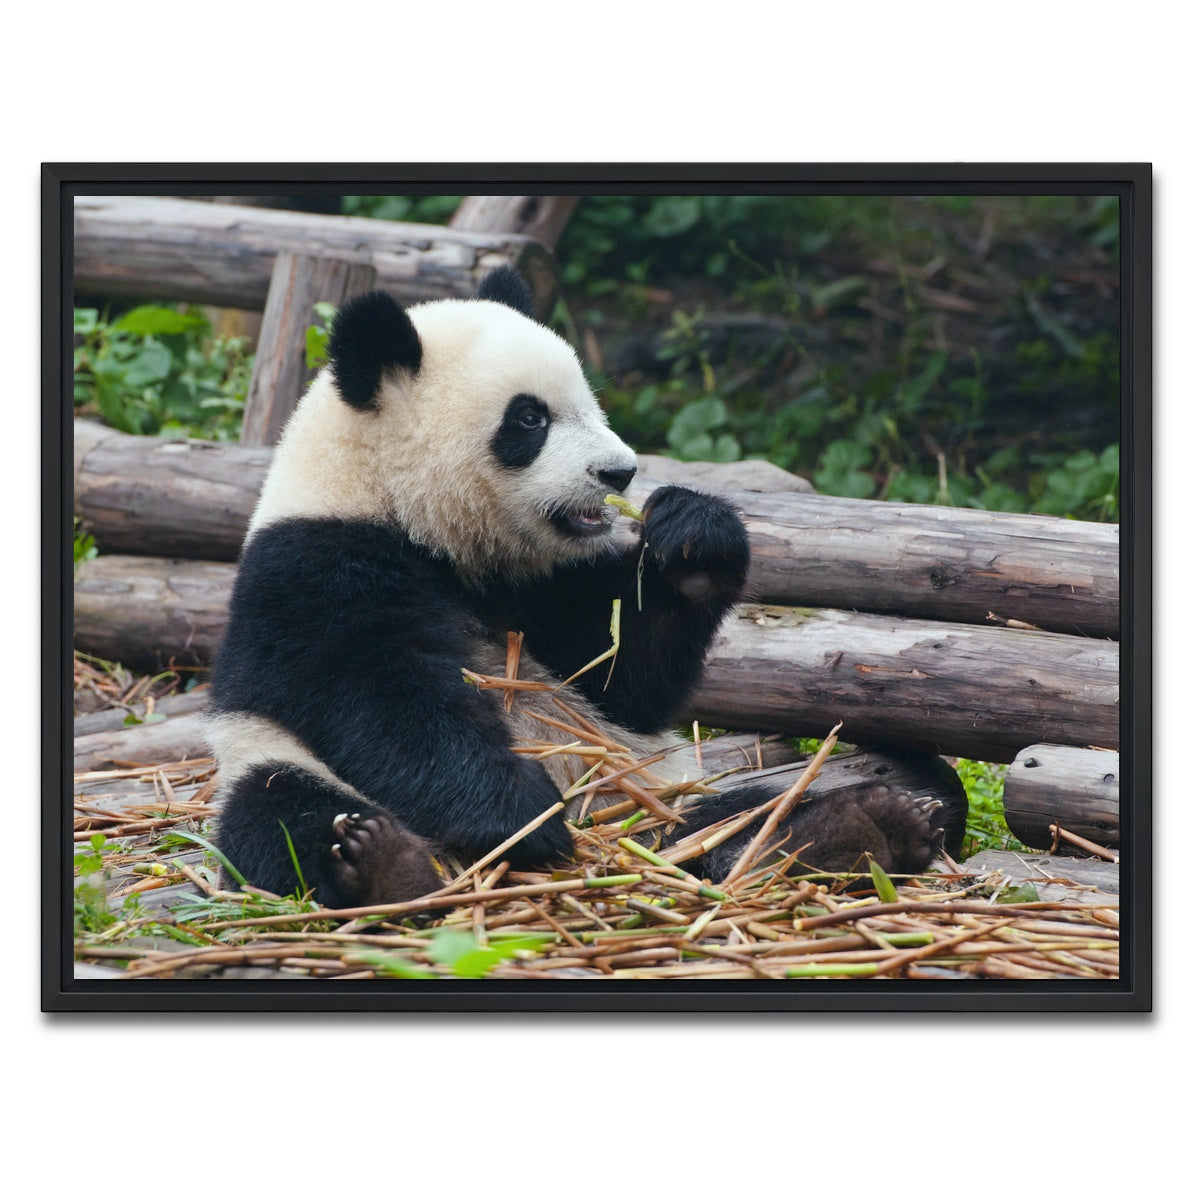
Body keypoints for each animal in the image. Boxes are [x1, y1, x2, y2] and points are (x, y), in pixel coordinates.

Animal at [207, 266, 965, 907]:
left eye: (589, 402)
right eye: (530, 418)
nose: (619, 472)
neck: (409, 515)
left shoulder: (539, 585)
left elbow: (621, 675)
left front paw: (694, 540)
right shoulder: (315, 566)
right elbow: (383, 699)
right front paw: (521, 815)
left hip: (650, 793)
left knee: (734, 814)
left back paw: (857, 828)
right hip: (265, 759)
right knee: (283, 813)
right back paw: (382, 864)